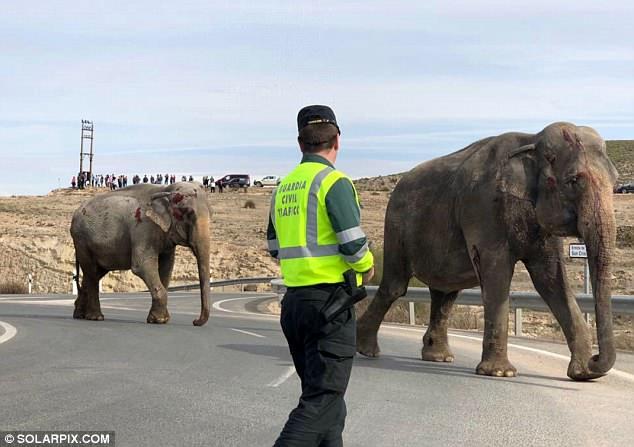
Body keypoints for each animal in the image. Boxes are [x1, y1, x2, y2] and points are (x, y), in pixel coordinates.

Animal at [70, 181, 211, 326]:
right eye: (189, 213)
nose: (195, 321)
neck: (165, 189)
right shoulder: (143, 227)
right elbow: (142, 266)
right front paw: (159, 320)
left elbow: (167, 267)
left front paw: (159, 319)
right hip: (81, 241)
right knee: (92, 273)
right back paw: (96, 317)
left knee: (93, 274)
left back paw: (80, 315)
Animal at [356, 122, 616, 382]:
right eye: (573, 180)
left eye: (616, 182)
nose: (595, 359)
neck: (532, 140)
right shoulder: (483, 207)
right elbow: (497, 274)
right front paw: (500, 372)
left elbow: (551, 281)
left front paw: (582, 374)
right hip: (395, 226)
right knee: (396, 286)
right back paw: (366, 350)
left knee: (445, 293)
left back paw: (438, 357)